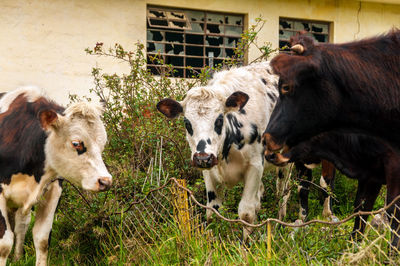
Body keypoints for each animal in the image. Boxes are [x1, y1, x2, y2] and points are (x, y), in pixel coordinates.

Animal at [0, 87, 111, 264]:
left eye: (103, 144)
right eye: (76, 143)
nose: (105, 181)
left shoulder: (53, 190)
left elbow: (42, 239)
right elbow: (4, 244)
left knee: (21, 226)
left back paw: (17, 258)